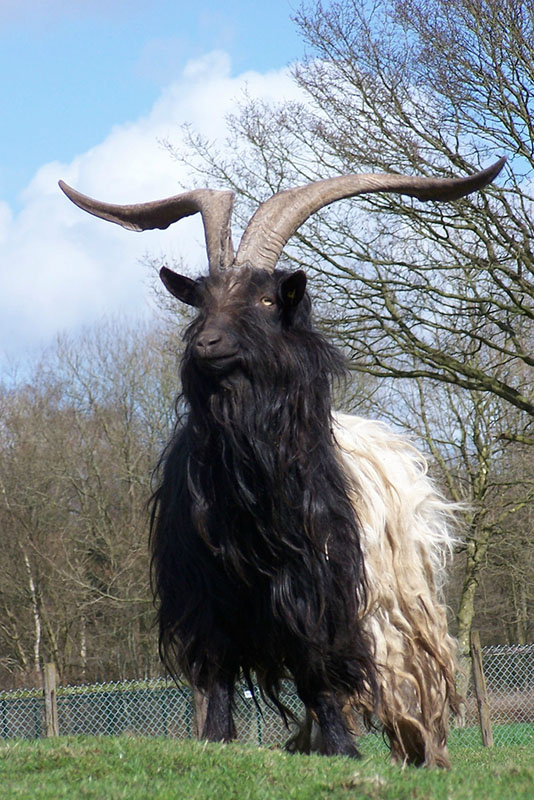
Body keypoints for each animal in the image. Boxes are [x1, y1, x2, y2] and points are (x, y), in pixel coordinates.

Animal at [58, 156, 506, 764]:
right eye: (202, 300)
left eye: (268, 300)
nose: (207, 344)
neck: (249, 493)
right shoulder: (206, 595)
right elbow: (218, 676)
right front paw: (215, 742)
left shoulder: (320, 590)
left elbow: (320, 671)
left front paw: (344, 751)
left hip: (402, 607)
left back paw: (423, 754)